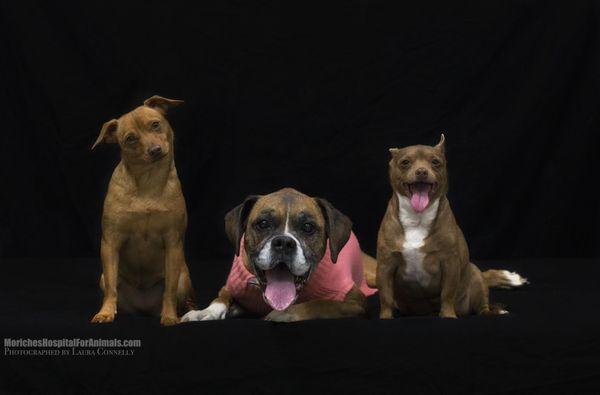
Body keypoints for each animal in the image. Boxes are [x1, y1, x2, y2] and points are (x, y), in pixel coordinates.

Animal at [90, 95, 196, 324]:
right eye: (130, 139)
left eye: (155, 125)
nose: (154, 150)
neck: (148, 181)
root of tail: (144, 308)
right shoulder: (110, 243)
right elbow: (111, 288)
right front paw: (105, 312)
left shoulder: (173, 243)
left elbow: (169, 290)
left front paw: (169, 316)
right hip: (103, 277)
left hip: (184, 277)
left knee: (184, 297)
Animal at [182, 190, 376, 324]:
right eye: (263, 223)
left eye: (308, 227)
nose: (284, 242)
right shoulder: (231, 285)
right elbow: (221, 297)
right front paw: (206, 311)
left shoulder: (356, 302)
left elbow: (321, 303)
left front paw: (285, 313)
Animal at [378, 135, 528, 320]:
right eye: (405, 162)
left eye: (435, 162)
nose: (421, 171)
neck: (417, 218)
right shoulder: (385, 265)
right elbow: (385, 296)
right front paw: (385, 318)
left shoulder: (450, 263)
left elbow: (448, 293)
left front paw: (448, 316)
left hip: (475, 278)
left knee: (482, 307)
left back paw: (494, 311)